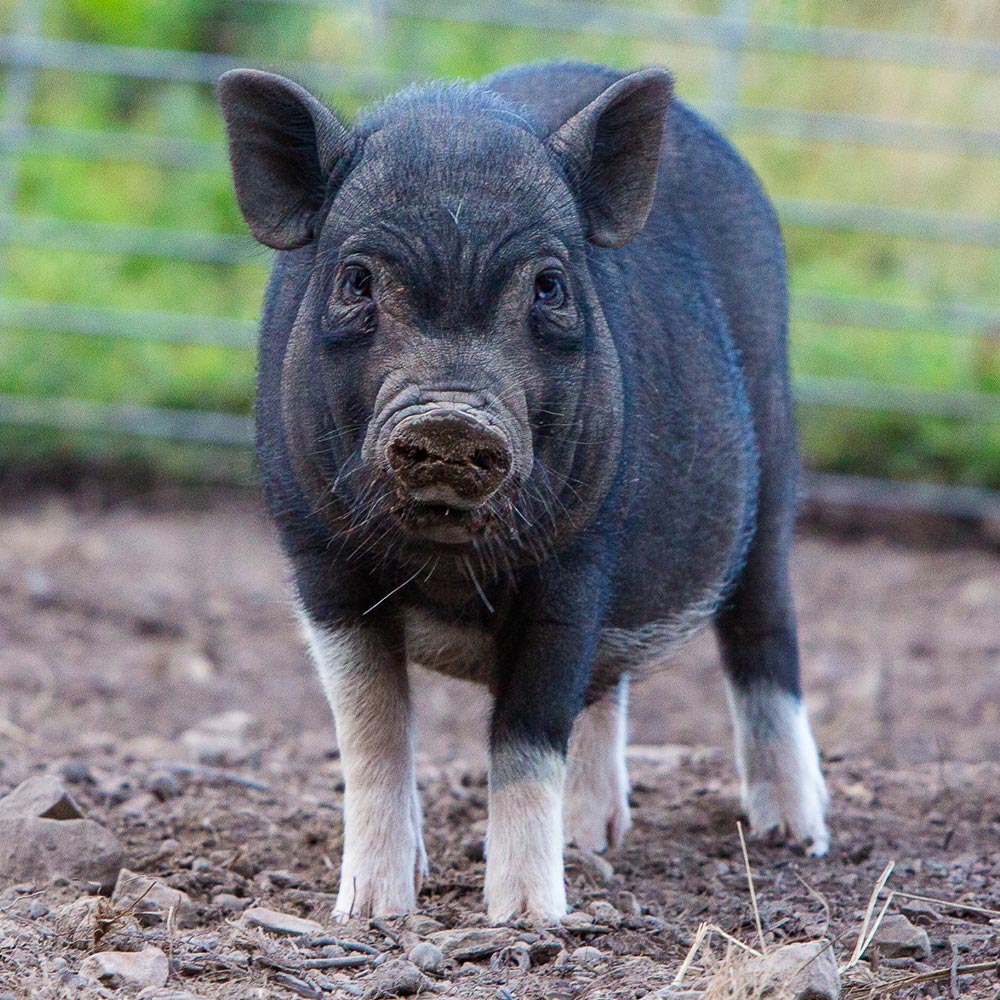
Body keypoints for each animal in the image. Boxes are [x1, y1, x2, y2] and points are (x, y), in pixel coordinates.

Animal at [223, 60, 832, 920]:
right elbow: (372, 730)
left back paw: (795, 836)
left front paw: (527, 918)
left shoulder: (577, 563)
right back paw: (594, 841)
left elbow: (527, 735)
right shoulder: (318, 556)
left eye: (548, 286)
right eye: (356, 280)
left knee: (763, 631)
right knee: (606, 688)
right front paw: (372, 911)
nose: (451, 418)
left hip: (773, 460)